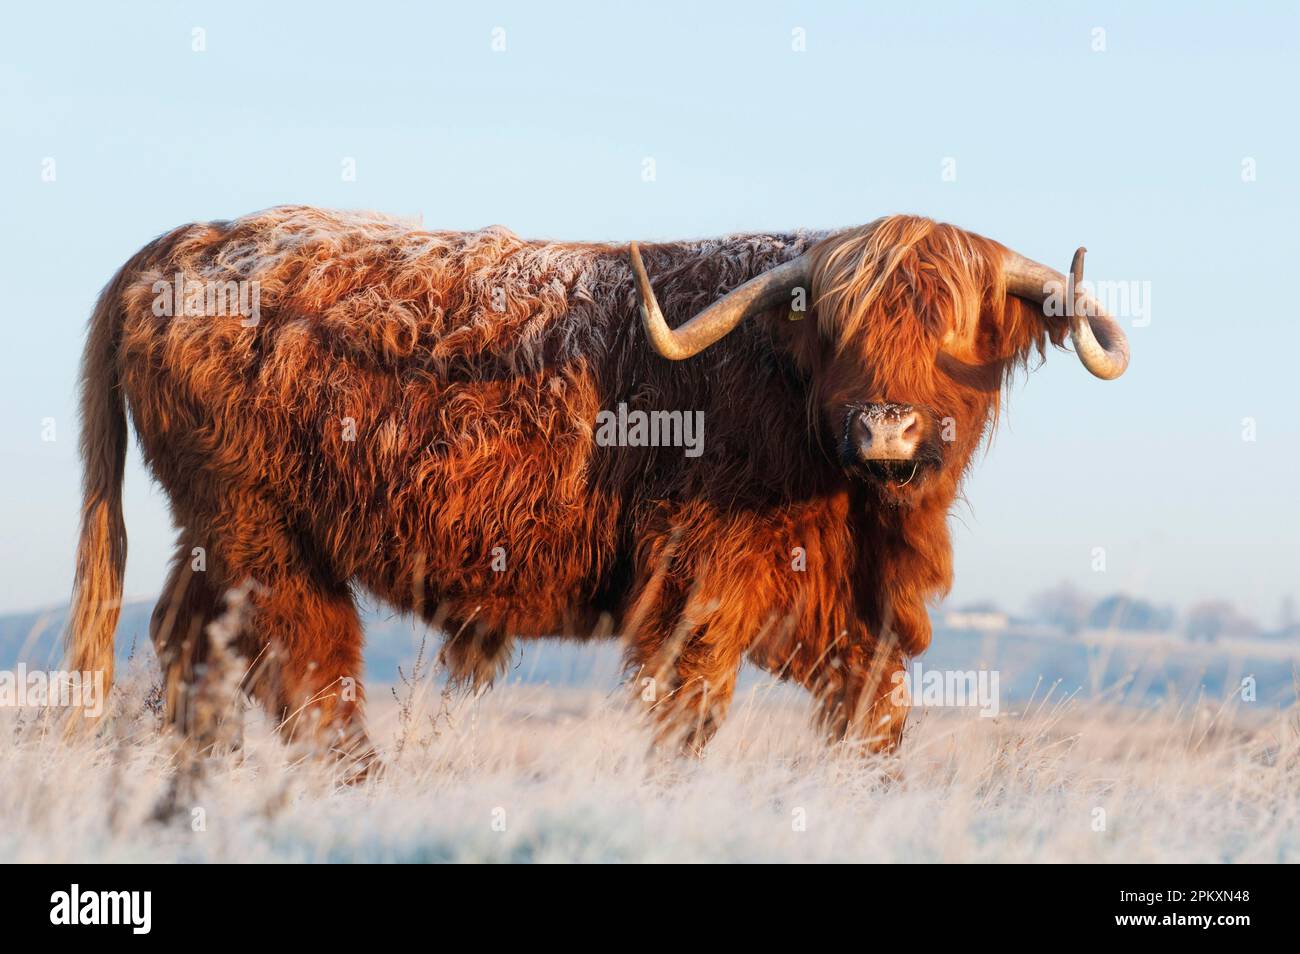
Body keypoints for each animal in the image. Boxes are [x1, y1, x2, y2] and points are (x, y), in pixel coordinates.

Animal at [68, 207, 1128, 769]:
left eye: (954, 325)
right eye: (839, 329)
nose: (885, 428)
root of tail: (180, 242)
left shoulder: (832, 602)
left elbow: (875, 710)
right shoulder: (703, 581)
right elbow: (688, 711)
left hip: (212, 534)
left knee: (187, 640)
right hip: (262, 531)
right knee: (305, 666)